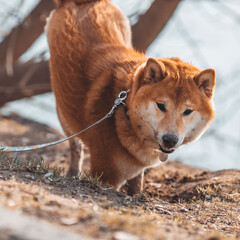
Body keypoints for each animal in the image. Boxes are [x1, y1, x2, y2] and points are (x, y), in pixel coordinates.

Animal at [45, 0, 216, 195]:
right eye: (161, 105)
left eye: (187, 111)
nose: (170, 139)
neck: (124, 110)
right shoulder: (106, 174)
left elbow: (136, 182)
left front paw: (137, 194)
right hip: (63, 111)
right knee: (75, 145)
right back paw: (73, 172)